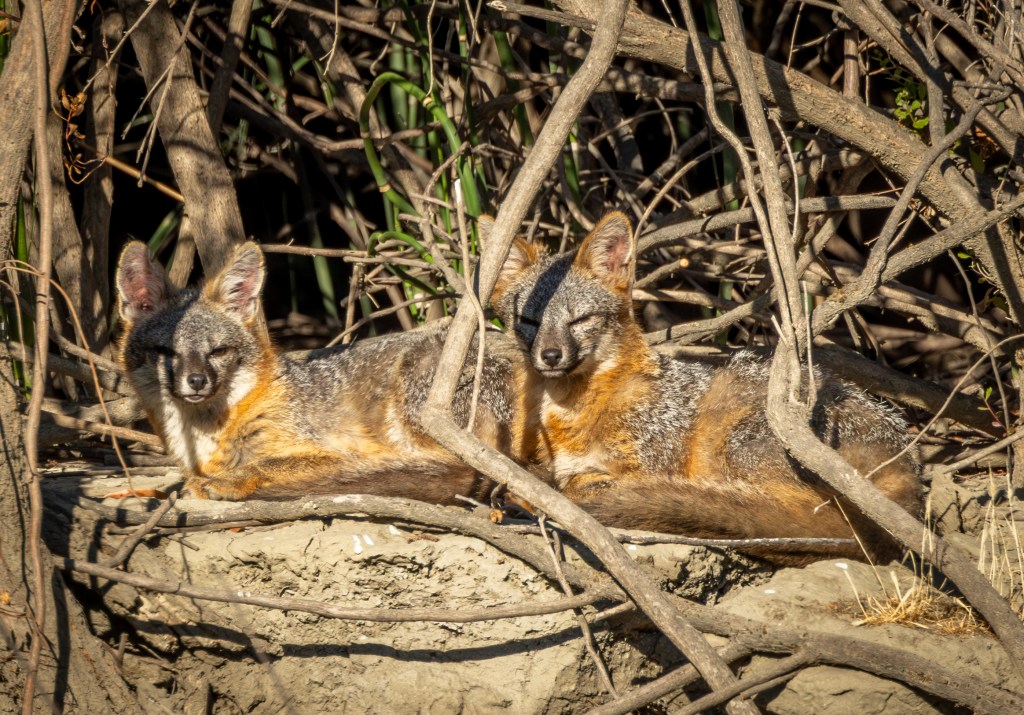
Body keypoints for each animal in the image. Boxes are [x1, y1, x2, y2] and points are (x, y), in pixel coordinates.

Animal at [115, 240, 516, 502]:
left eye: (219, 351)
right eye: (166, 352)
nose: (196, 381)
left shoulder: (326, 449)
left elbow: (264, 465)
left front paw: (229, 481)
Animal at [490, 212, 924, 563]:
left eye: (579, 320)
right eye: (529, 320)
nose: (550, 355)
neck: (572, 410)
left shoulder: (651, 462)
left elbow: (590, 479)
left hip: (739, 443)